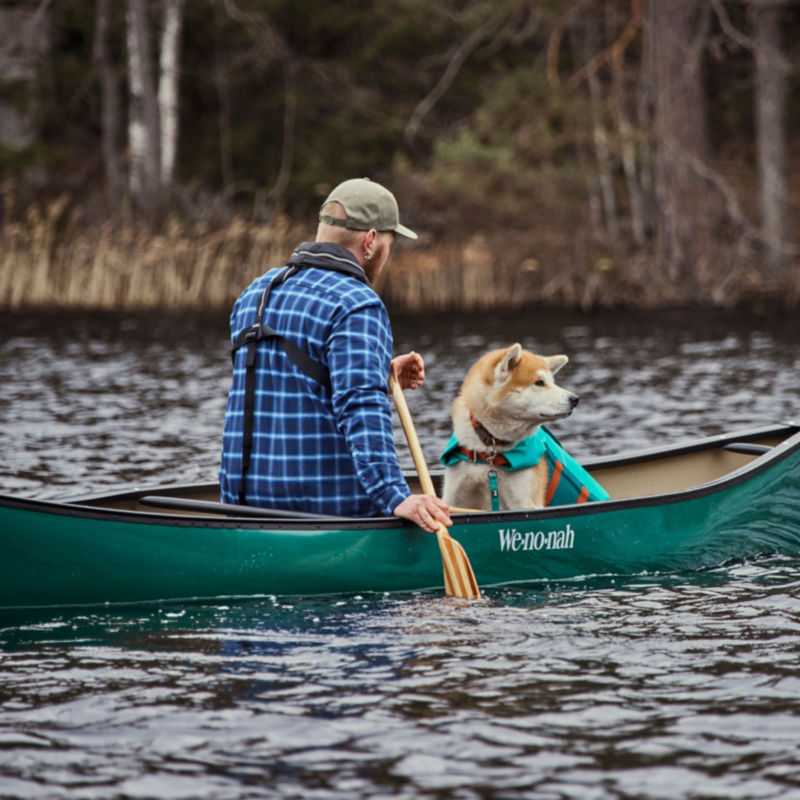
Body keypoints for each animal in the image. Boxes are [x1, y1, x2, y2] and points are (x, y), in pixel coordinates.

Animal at [440, 344, 580, 512]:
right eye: (539, 382)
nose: (575, 399)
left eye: (552, 382)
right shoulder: (454, 497)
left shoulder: (524, 502)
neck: (489, 449)